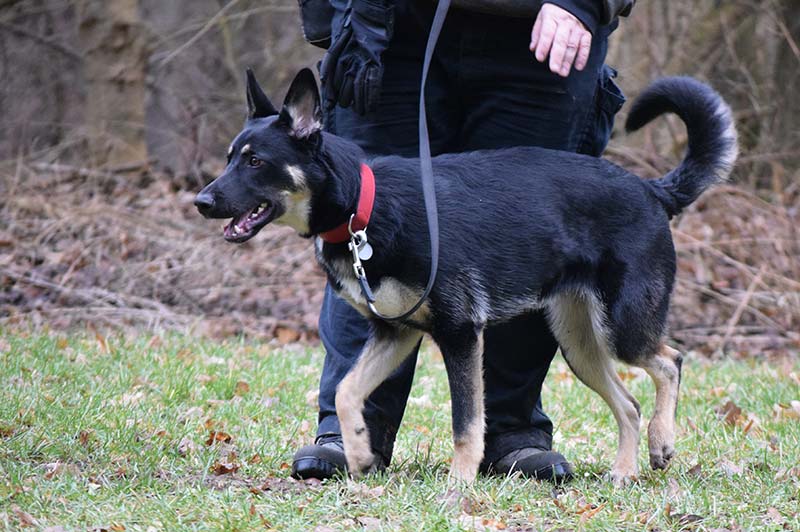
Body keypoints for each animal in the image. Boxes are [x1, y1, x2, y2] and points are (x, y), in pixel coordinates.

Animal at [194, 68, 736, 484]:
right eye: (230, 158)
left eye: (256, 161)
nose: (200, 201)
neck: (364, 206)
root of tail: (652, 190)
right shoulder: (394, 333)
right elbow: (348, 391)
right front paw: (359, 453)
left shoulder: (460, 334)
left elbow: (466, 422)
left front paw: (458, 483)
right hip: (580, 345)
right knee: (629, 403)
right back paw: (624, 472)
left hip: (622, 328)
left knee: (670, 361)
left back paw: (662, 442)